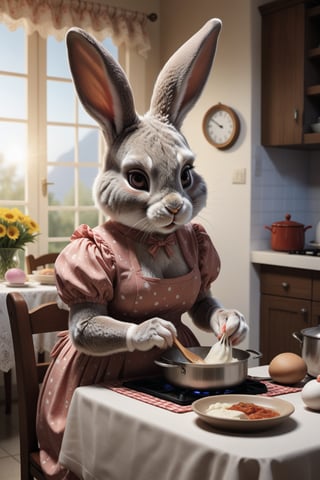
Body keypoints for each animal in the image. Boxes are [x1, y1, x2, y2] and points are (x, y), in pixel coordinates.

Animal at [37, 19, 248, 480]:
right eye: (136, 178)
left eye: (187, 174)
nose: (174, 208)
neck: (152, 237)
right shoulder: (84, 269)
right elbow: (86, 323)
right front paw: (152, 331)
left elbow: (204, 302)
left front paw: (233, 322)